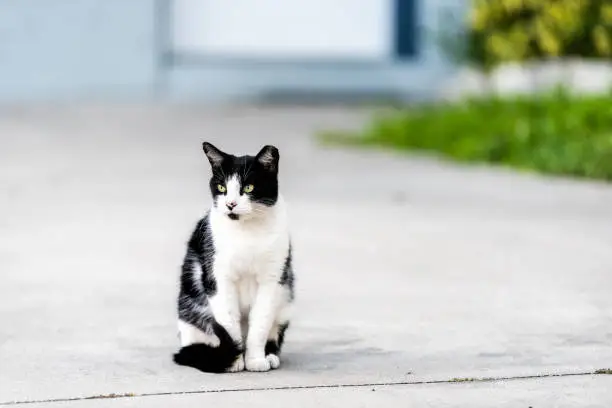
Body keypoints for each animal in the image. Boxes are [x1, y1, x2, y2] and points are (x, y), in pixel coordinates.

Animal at [173, 141, 296, 372]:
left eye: (248, 188)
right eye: (222, 188)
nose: (230, 204)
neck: (246, 231)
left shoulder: (272, 279)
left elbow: (260, 322)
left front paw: (256, 360)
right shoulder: (219, 277)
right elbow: (228, 322)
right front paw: (234, 361)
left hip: (285, 298)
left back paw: (270, 356)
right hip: (189, 308)